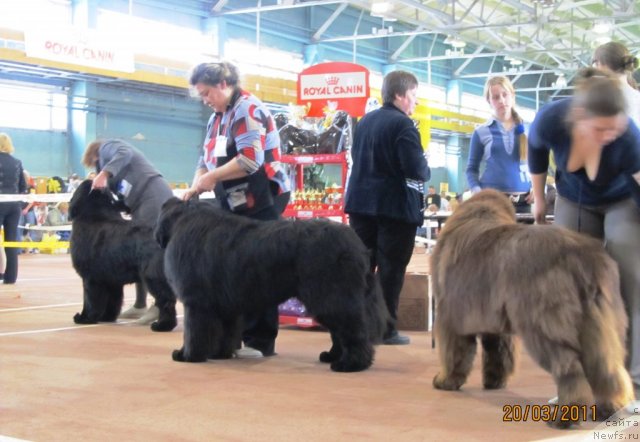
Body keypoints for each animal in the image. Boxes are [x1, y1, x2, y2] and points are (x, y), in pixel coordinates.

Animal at [69, 180, 178, 332]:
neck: (94, 215)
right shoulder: (110, 280)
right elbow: (113, 300)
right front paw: (106, 317)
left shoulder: (90, 278)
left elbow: (90, 300)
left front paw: (85, 318)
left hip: (154, 277)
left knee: (167, 301)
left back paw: (162, 326)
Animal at [156, 199, 384, 372]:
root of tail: (358, 246)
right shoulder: (225, 306)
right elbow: (225, 333)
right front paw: (219, 354)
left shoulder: (195, 302)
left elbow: (193, 332)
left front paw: (186, 354)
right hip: (331, 299)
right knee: (339, 332)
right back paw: (332, 356)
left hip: (331, 297)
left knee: (353, 331)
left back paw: (351, 364)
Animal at [432, 188, 632, 426]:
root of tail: (580, 255)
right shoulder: (494, 322)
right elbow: (498, 354)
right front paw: (494, 381)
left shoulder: (450, 317)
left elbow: (454, 354)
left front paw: (445, 380)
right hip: (600, 321)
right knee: (608, 368)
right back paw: (610, 408)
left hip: (543, 325)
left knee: (569, 368)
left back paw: (565, 414)